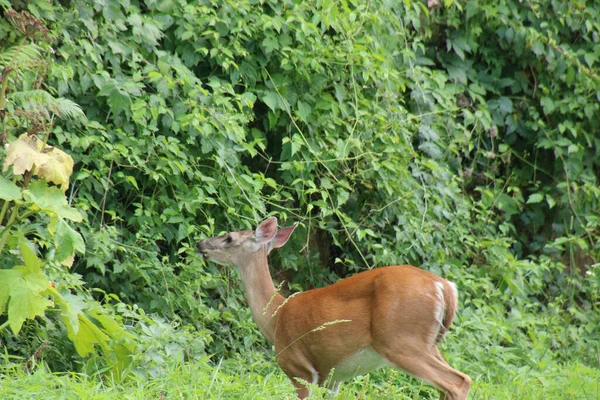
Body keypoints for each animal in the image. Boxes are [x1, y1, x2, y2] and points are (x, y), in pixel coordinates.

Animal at [197, 219, 468, 400]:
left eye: (229, 237)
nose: (200, 243)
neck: (275, 317)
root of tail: (445, 286)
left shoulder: (298, 368)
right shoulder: (332, 377)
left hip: (401, 340)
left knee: (459, 381)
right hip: (428, 343)